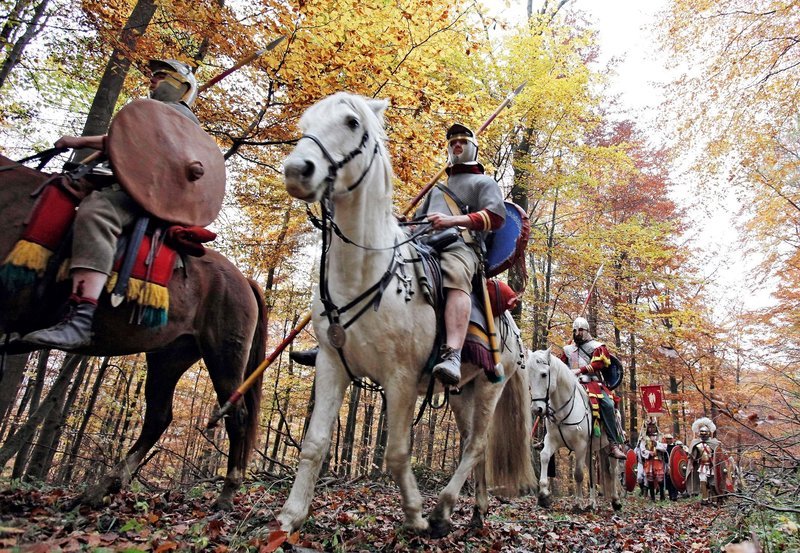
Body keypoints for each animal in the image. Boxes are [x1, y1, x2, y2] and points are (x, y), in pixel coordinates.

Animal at [0, 153, 268, 506]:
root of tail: (244, 280)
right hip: (169, 356)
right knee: (159, 416)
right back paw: (105, 485)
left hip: (224, 352)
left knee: (235, 416)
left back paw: (225, 495)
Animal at [282, 92, 536, 536]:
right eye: (306, 122)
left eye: (351, 122)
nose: (298, 170)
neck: (364, 272)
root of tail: (512, 327)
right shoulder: (332, 365)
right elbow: (314, 444)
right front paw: (289, 517)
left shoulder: (399, 379)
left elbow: (398, 452)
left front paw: (415, 513)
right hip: (462, 391)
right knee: (471, 444)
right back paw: (474, 512)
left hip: (492, 385)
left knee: (477, 445)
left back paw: (441, 510)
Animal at [528, 348, 620, 512]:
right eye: (528, 374)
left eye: (544, 374)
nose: (537, 409)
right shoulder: (551, 440)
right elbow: (544, 456)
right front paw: (544, 495)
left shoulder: (580, 445)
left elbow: (578, 474)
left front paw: (578, 503)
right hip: (591, 449)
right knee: (592, 472)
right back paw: (592, 503)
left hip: (608, 445)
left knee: (613, 469)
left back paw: (615, 501)